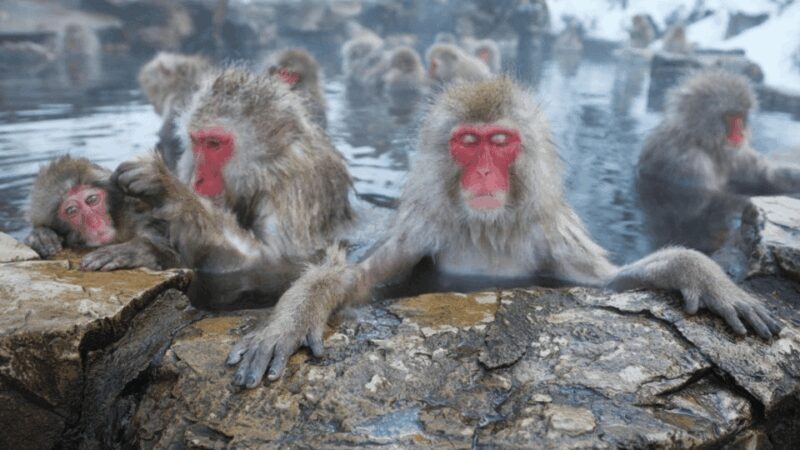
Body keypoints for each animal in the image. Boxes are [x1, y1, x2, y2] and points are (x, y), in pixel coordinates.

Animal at [23, 155, 179, 271]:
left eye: (92, 200)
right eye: (72, 210)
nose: (94, 222)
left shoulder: (141, 220)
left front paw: (133, 252)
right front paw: (40, 236)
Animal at [113, 68, 354, 295]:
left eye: (214, 144)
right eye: (197, 142)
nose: (197, 179)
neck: (265, 168)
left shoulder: (293, 189)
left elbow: (271, 262)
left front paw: (169, 190)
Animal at [226, 77, 781, 388]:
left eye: (500, 141)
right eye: (469, 143)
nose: (485, 174)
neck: (488, 228)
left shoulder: (551, 234)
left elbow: (607, 282)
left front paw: (701, 274)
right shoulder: (423, 227)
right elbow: (357, 280)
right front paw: (291, 319)